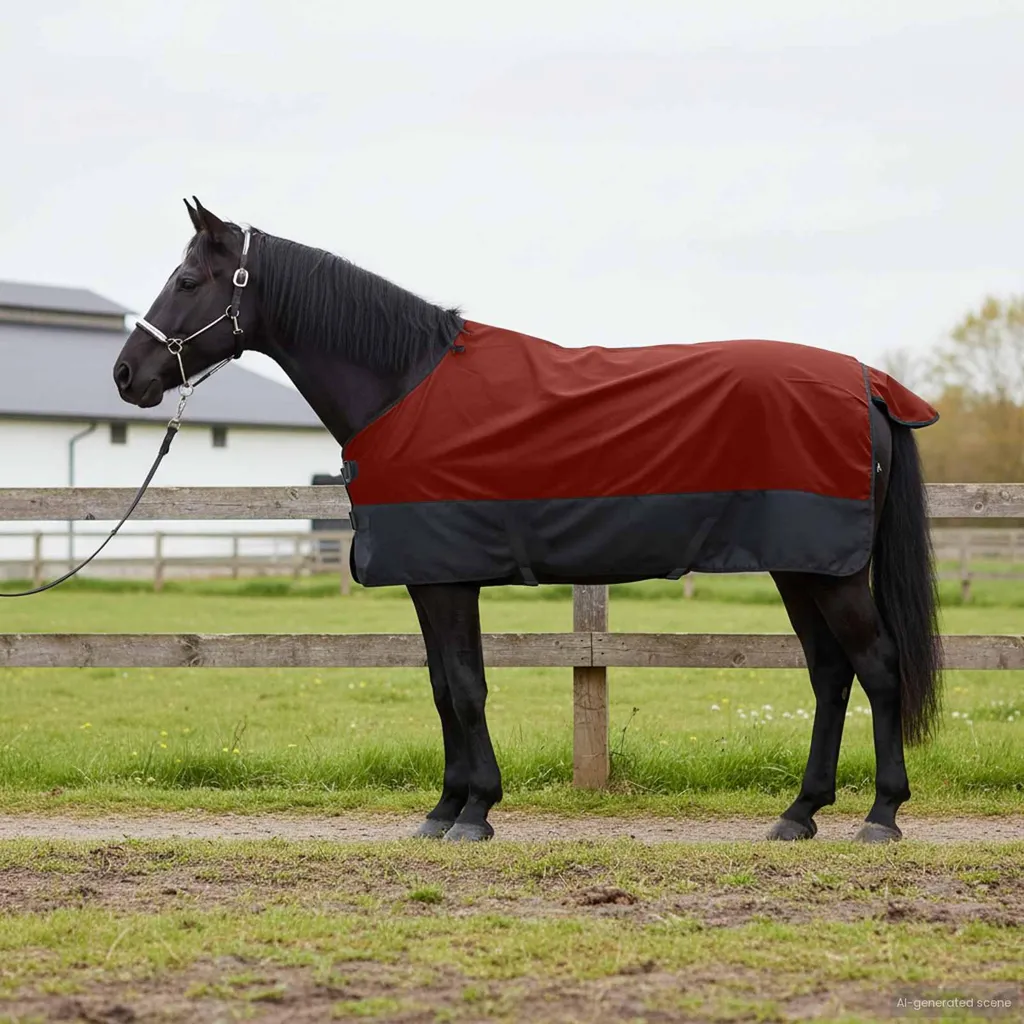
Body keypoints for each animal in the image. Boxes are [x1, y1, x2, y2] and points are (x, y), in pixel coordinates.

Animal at [113, 198, 941, 843]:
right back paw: (800, 813)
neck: (402, 385)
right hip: (801, 567)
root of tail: (867, 384)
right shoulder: (434, 579)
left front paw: (474, 810)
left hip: (828, 572)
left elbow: (465, 687)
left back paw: (881, 815)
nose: (126, 375)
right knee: (830, 673)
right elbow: (445, 685)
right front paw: (447, 807)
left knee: (877, 667)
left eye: (187, 280)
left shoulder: (445, 579)